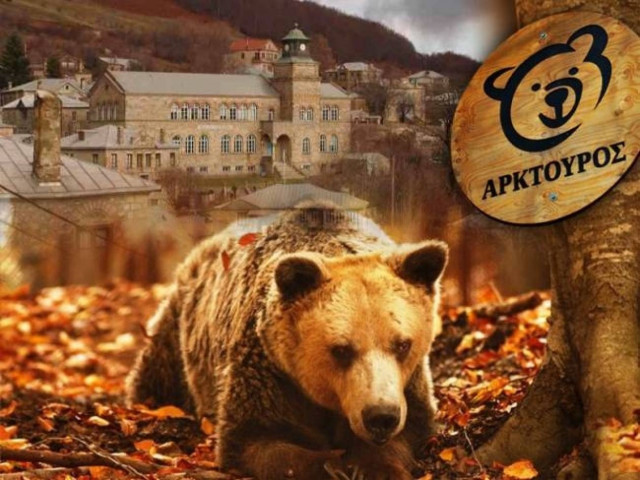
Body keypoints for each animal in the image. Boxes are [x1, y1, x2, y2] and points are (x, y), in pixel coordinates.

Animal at [126, 204, 448, 480]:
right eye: (341, 350)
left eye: (402, 344)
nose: (381, 416)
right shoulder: (269, 374)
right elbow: (255, 439)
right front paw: (331, 465)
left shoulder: (409, 385)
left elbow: (410, 430)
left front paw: (374, 465)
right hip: (177, 331)